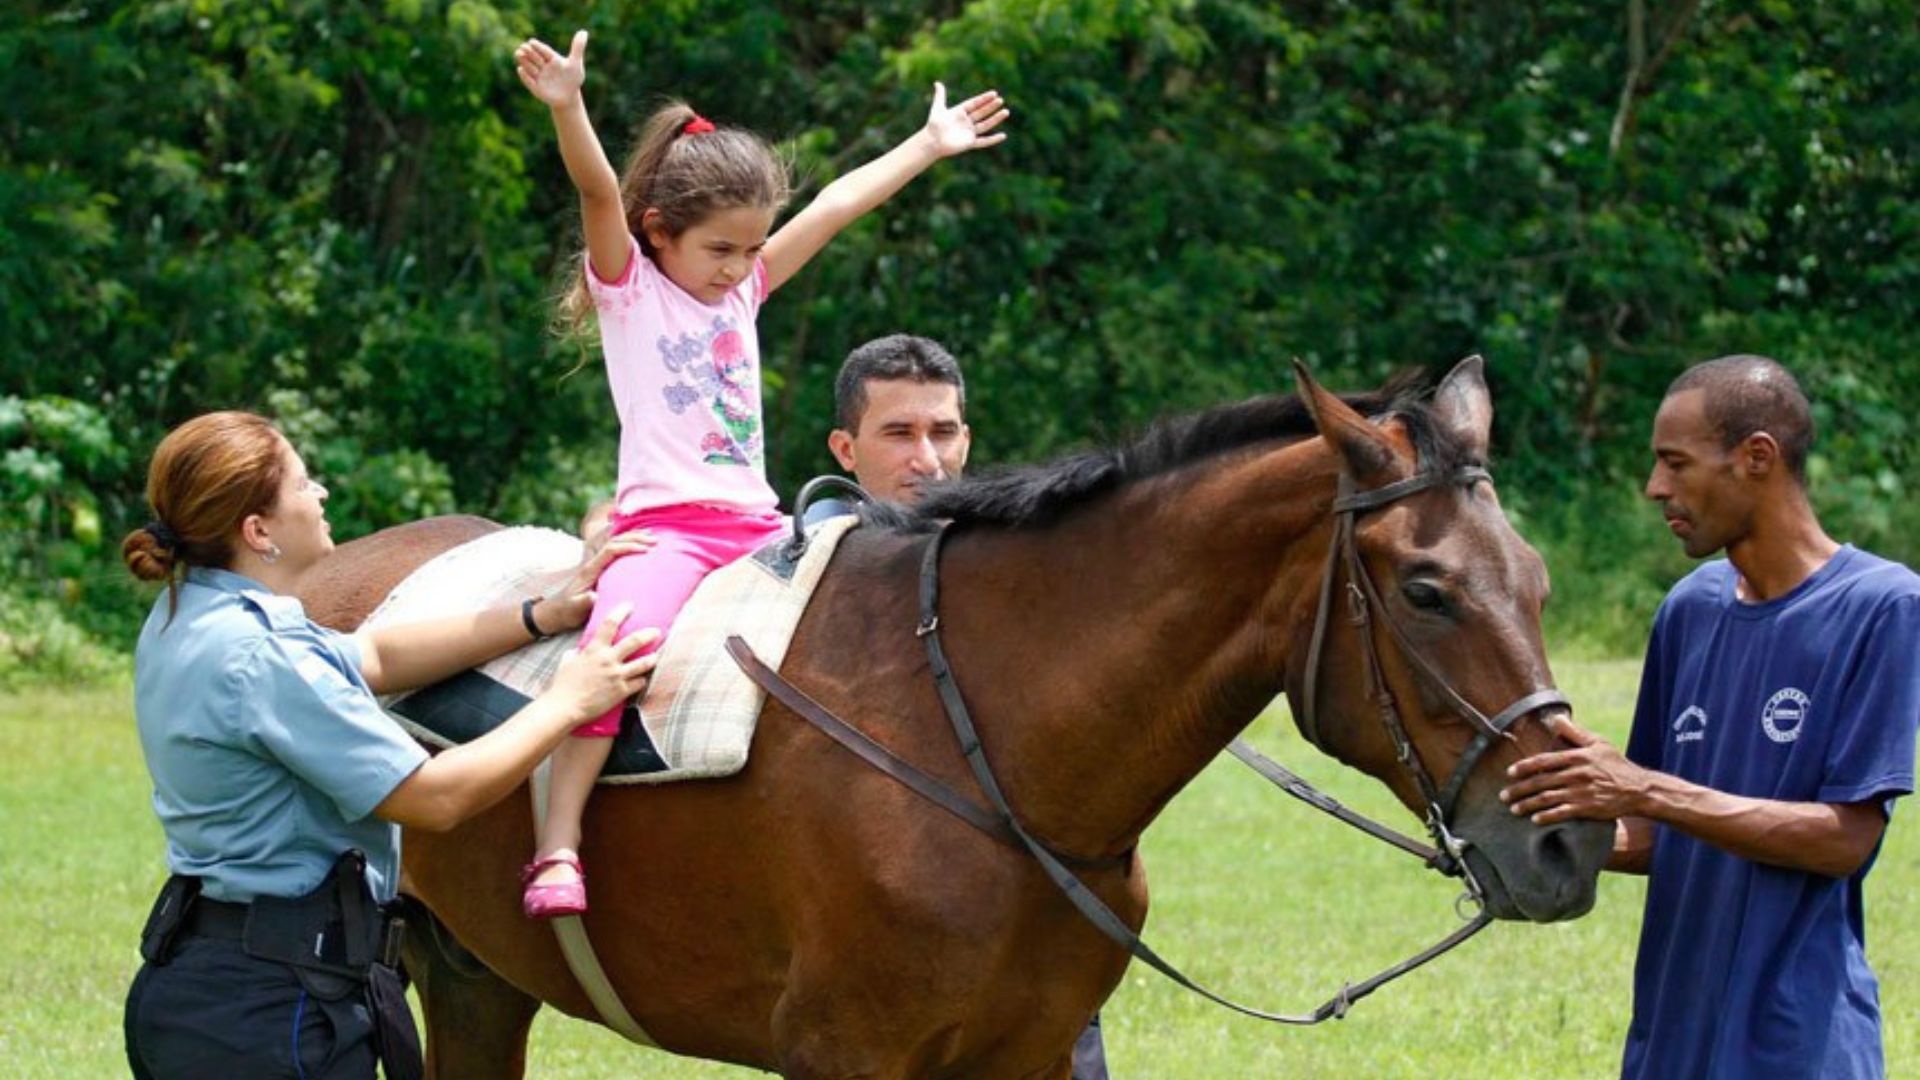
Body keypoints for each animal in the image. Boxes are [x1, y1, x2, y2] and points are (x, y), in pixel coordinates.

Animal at [299, 359, 1612, 1076]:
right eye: (1427, 591)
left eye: (1539, 580)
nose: (1572, 838)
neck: (990, 753)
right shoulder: (845, 1058)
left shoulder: (1027, 1056)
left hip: (475, 979)